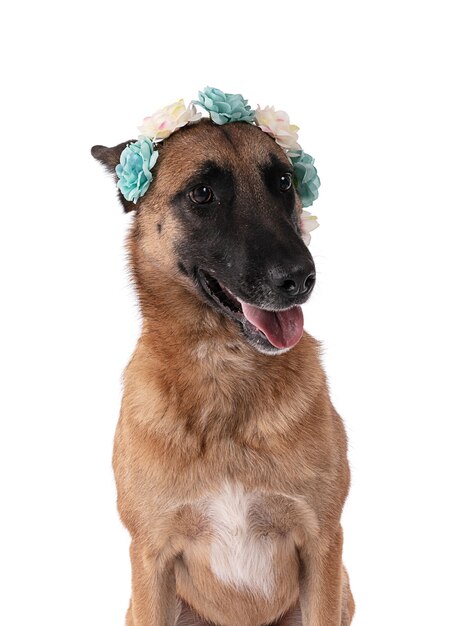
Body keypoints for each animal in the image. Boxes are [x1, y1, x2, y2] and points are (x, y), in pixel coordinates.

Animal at [92, 114, 354, 620]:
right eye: (202, 194)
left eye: (283, 182)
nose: (300, 278)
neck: (224, 370)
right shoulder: (151, 559)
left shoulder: (322, 546)